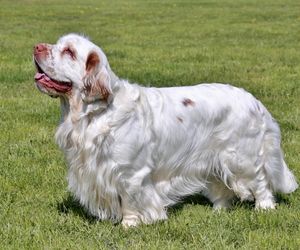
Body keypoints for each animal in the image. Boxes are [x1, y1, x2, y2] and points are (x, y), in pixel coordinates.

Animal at [33, 34, 298, 228]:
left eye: (69, 52)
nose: (36, 47)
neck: (95, 112)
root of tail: (254, 101)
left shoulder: (131, 173)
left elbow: (129, 200)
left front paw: (129, 225)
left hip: (241, 157)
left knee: (261, 181)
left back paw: (264, 208)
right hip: (212, 158)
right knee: (222, 186)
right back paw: (218, 211)